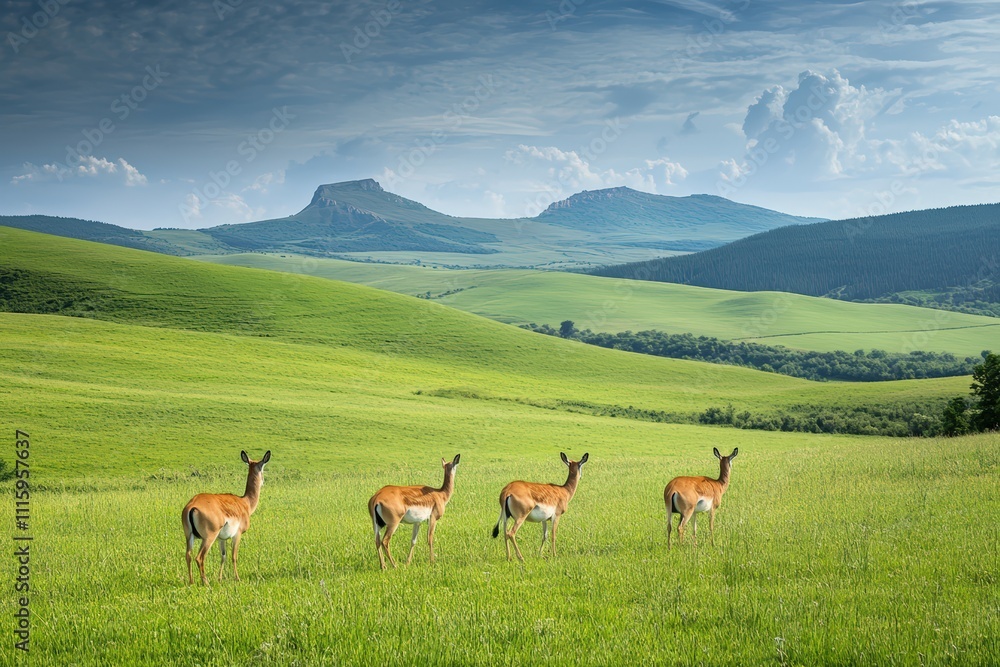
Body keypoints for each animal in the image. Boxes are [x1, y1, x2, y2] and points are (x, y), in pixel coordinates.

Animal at [182, 450, 270, 585]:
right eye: (262, 467)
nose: (263, 482)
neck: (245, 503)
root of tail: (192, 506)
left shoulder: (221, 538)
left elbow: (223, 556)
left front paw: (219, 578)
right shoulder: (237, 534)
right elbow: (234, 556)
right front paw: (237, 578)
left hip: (190, 536)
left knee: (188, 555)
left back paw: (191, 582)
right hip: (208, 538)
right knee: (199, 557)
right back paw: (206, 582)